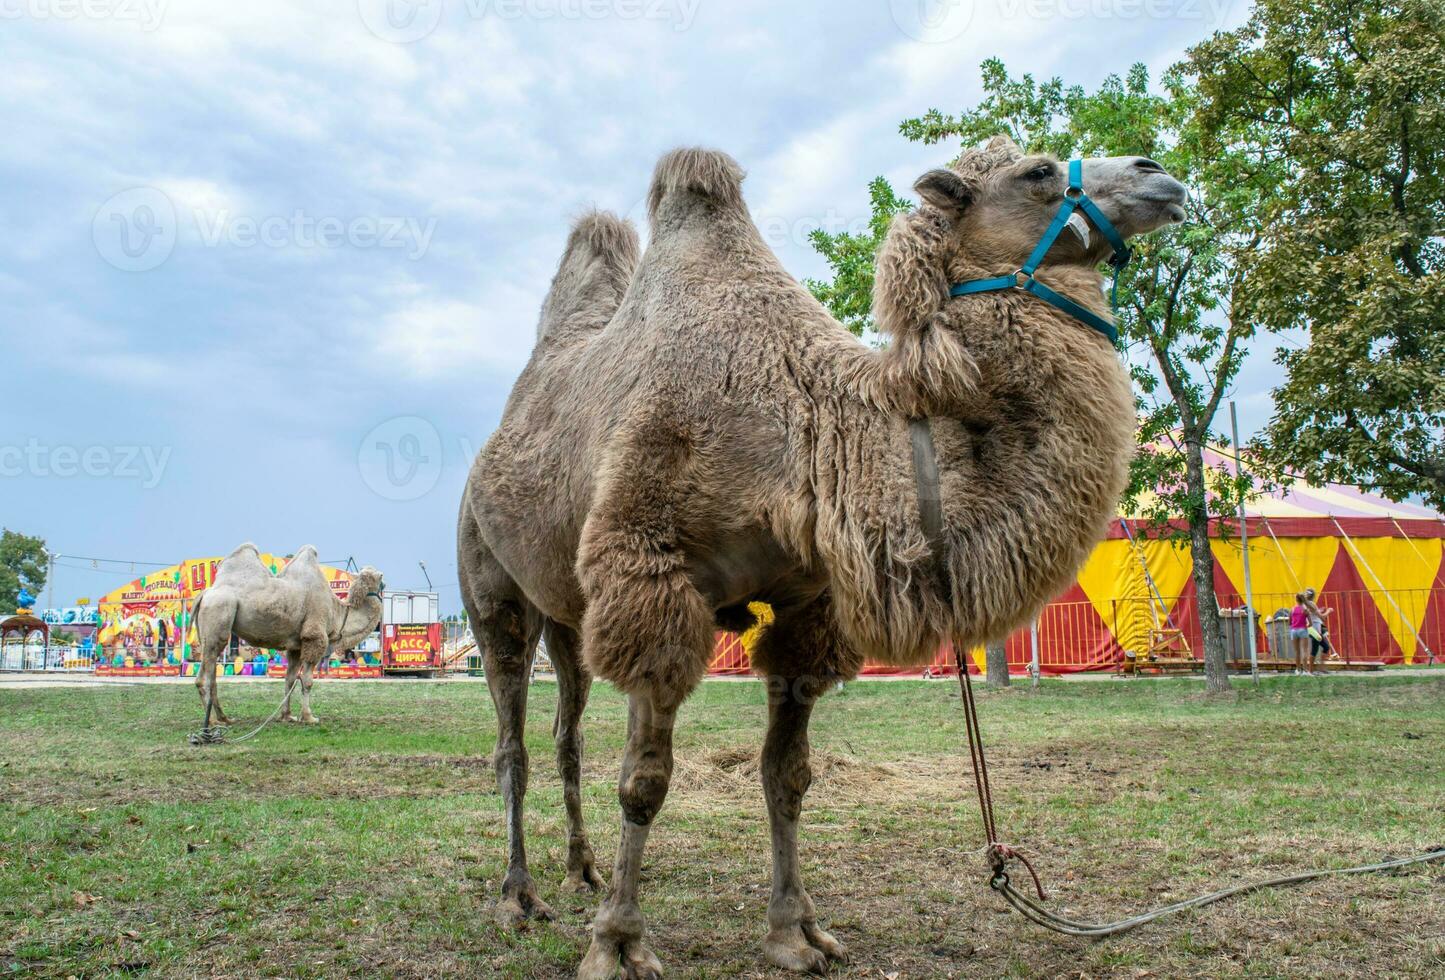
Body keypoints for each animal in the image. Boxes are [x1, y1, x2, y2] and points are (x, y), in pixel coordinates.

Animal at [192, 546, 384, 728]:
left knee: (212, 675)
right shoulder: (314, 637)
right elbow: (307, 681)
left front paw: (287, 716)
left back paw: (224, 718)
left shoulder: (296, 646)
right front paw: (309, 717)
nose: (385, 585)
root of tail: (204, 594)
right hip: (218, 613)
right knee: (204, 678)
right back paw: (212, 722)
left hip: (211, 631)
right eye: (381, 581)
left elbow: (290, 680)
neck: (337, 613)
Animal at [459, 136, 1184, 977]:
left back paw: (581, 872)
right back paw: (518, 898)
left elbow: (788, 776)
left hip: (568, 614)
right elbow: (644, 782)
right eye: (1035, 173)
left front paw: (795, 933)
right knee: (511, 738)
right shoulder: (652, 581)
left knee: (566, 733)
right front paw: (618, 944)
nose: (1156, 174)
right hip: (491, 587)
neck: (813, 429)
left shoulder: (808, 606)